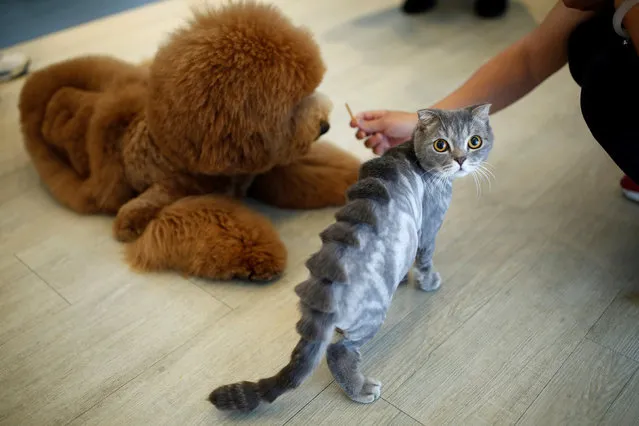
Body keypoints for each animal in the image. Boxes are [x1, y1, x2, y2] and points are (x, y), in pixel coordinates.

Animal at [18, 2, 360, 282]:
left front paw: (354, 175)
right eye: (293, 104)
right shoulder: (153, 205)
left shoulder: (264, 166)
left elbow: (310, 171)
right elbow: (193, 218)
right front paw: (254, 253)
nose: (325, 125)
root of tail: (39, 79)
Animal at [210, 104, 496, 412]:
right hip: (373, 313)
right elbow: (425, 257)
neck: (412, 153)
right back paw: (360, 388)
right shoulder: (429, 224)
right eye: (441, 145)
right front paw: (428, 281)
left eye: (474, 141)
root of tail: (328, 279)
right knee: (338, 351)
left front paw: (404, 278)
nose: (461, 160)